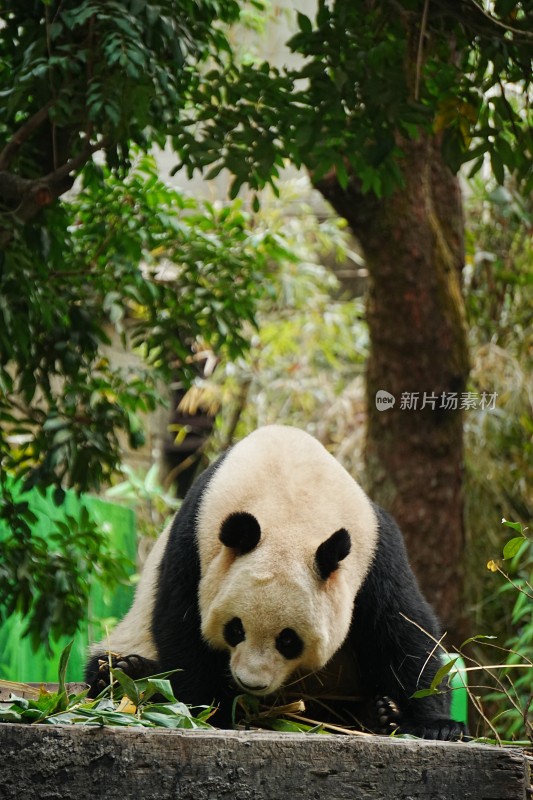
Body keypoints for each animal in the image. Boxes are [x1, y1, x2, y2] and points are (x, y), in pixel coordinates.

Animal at [86, 424, 466, 736]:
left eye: (289, 640)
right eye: (234, 629)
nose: (250, 683)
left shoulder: (374, 550)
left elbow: (404, 630)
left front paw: (436, 725)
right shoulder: (194, 540)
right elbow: (181, 624)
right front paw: (210, 710)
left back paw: (381, 713)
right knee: (105, 670)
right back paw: (130, 672)